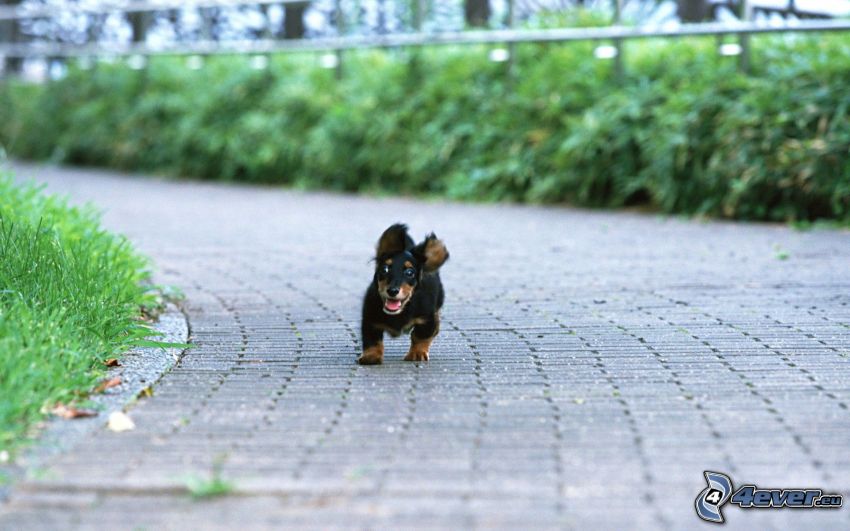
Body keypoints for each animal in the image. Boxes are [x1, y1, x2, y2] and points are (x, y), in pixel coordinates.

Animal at [358, 223, 450, 366]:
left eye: (410, 272)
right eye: (385, 269)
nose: (392, 291)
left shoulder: (426, 319)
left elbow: (420, 336)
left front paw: (417, 353)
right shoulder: (370, 319)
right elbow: (372, 340)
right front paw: (371, 356)